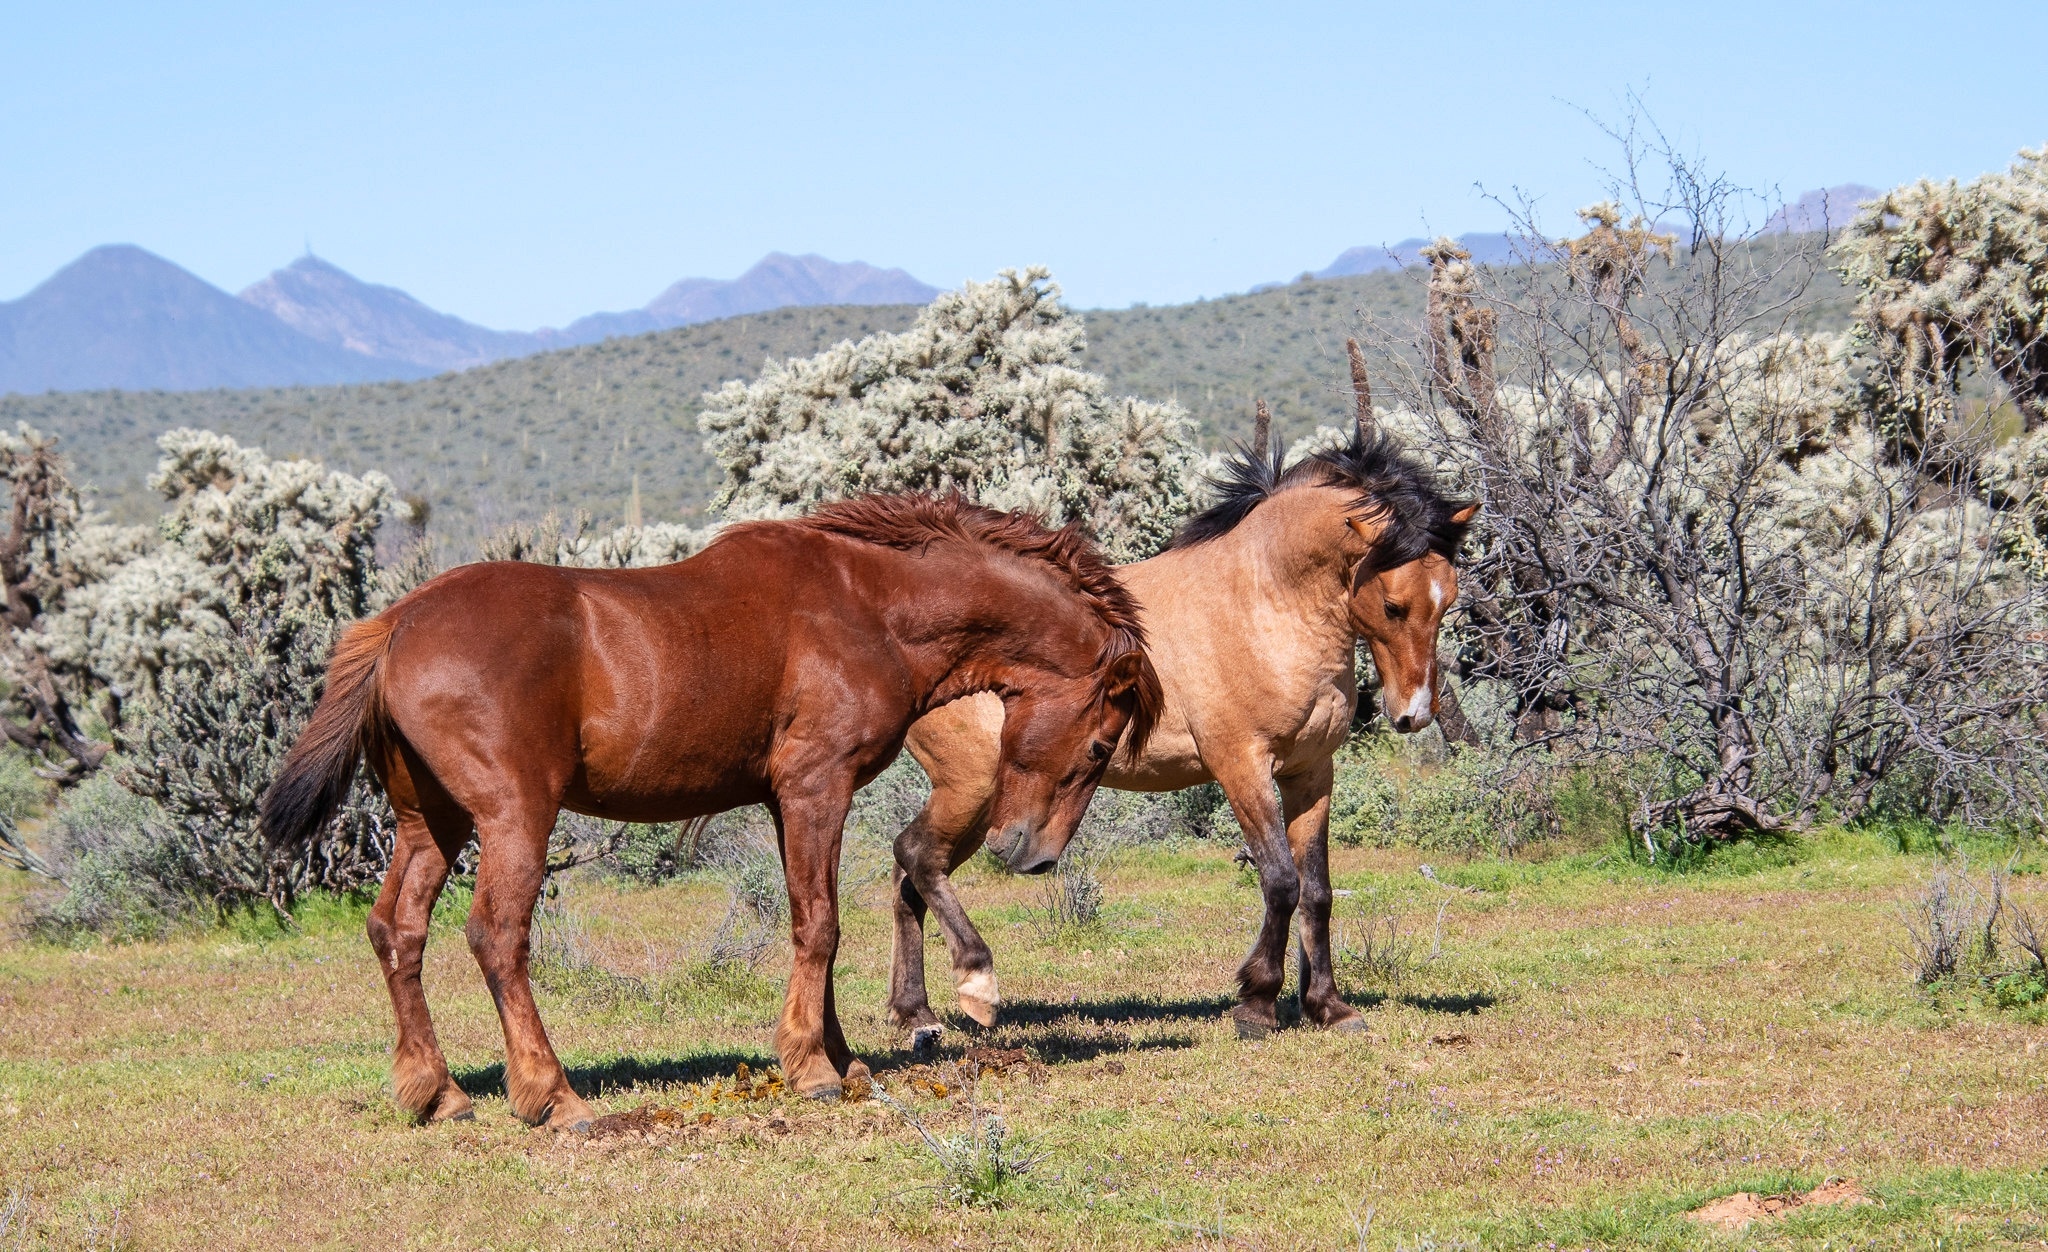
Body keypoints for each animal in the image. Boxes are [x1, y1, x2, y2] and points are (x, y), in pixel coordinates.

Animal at [264, 493, 1163, 1131]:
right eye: (1099, 748)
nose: (1031, 854)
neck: (870, 604)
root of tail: (397, 621)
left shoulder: (786, 799)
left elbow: (815, 921)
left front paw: (837, 1056)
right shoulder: (816, 786)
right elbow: (820, 924)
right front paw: (812, 1066)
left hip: (433, 824)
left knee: (398, 932)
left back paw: (437, 1092)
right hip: (515, 815)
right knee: (496, 937)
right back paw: (553, 1096)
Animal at [888, 366, 1466, 1045]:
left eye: (1450, 599)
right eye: (1395, 605)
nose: (1414, 713)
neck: (1265, 600)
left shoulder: (1310, 773)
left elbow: (1318, 889)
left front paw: (1328, 1006)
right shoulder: (1241, 764)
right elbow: (1280, 880)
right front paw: (1256, 1002)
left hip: (983, 802)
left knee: (909, 877)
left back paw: (916, 1013)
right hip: (974, 787)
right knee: (917, 859)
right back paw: (971, 989)